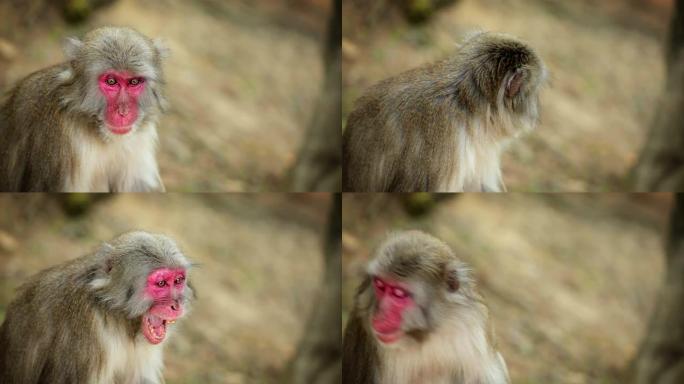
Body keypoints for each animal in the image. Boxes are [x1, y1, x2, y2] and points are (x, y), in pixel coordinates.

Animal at [0, 26, 170, 191]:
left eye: (134, 82)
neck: (97, 132)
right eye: (111, 81)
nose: (123, 111)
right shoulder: (62, 141)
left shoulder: (141, 136)